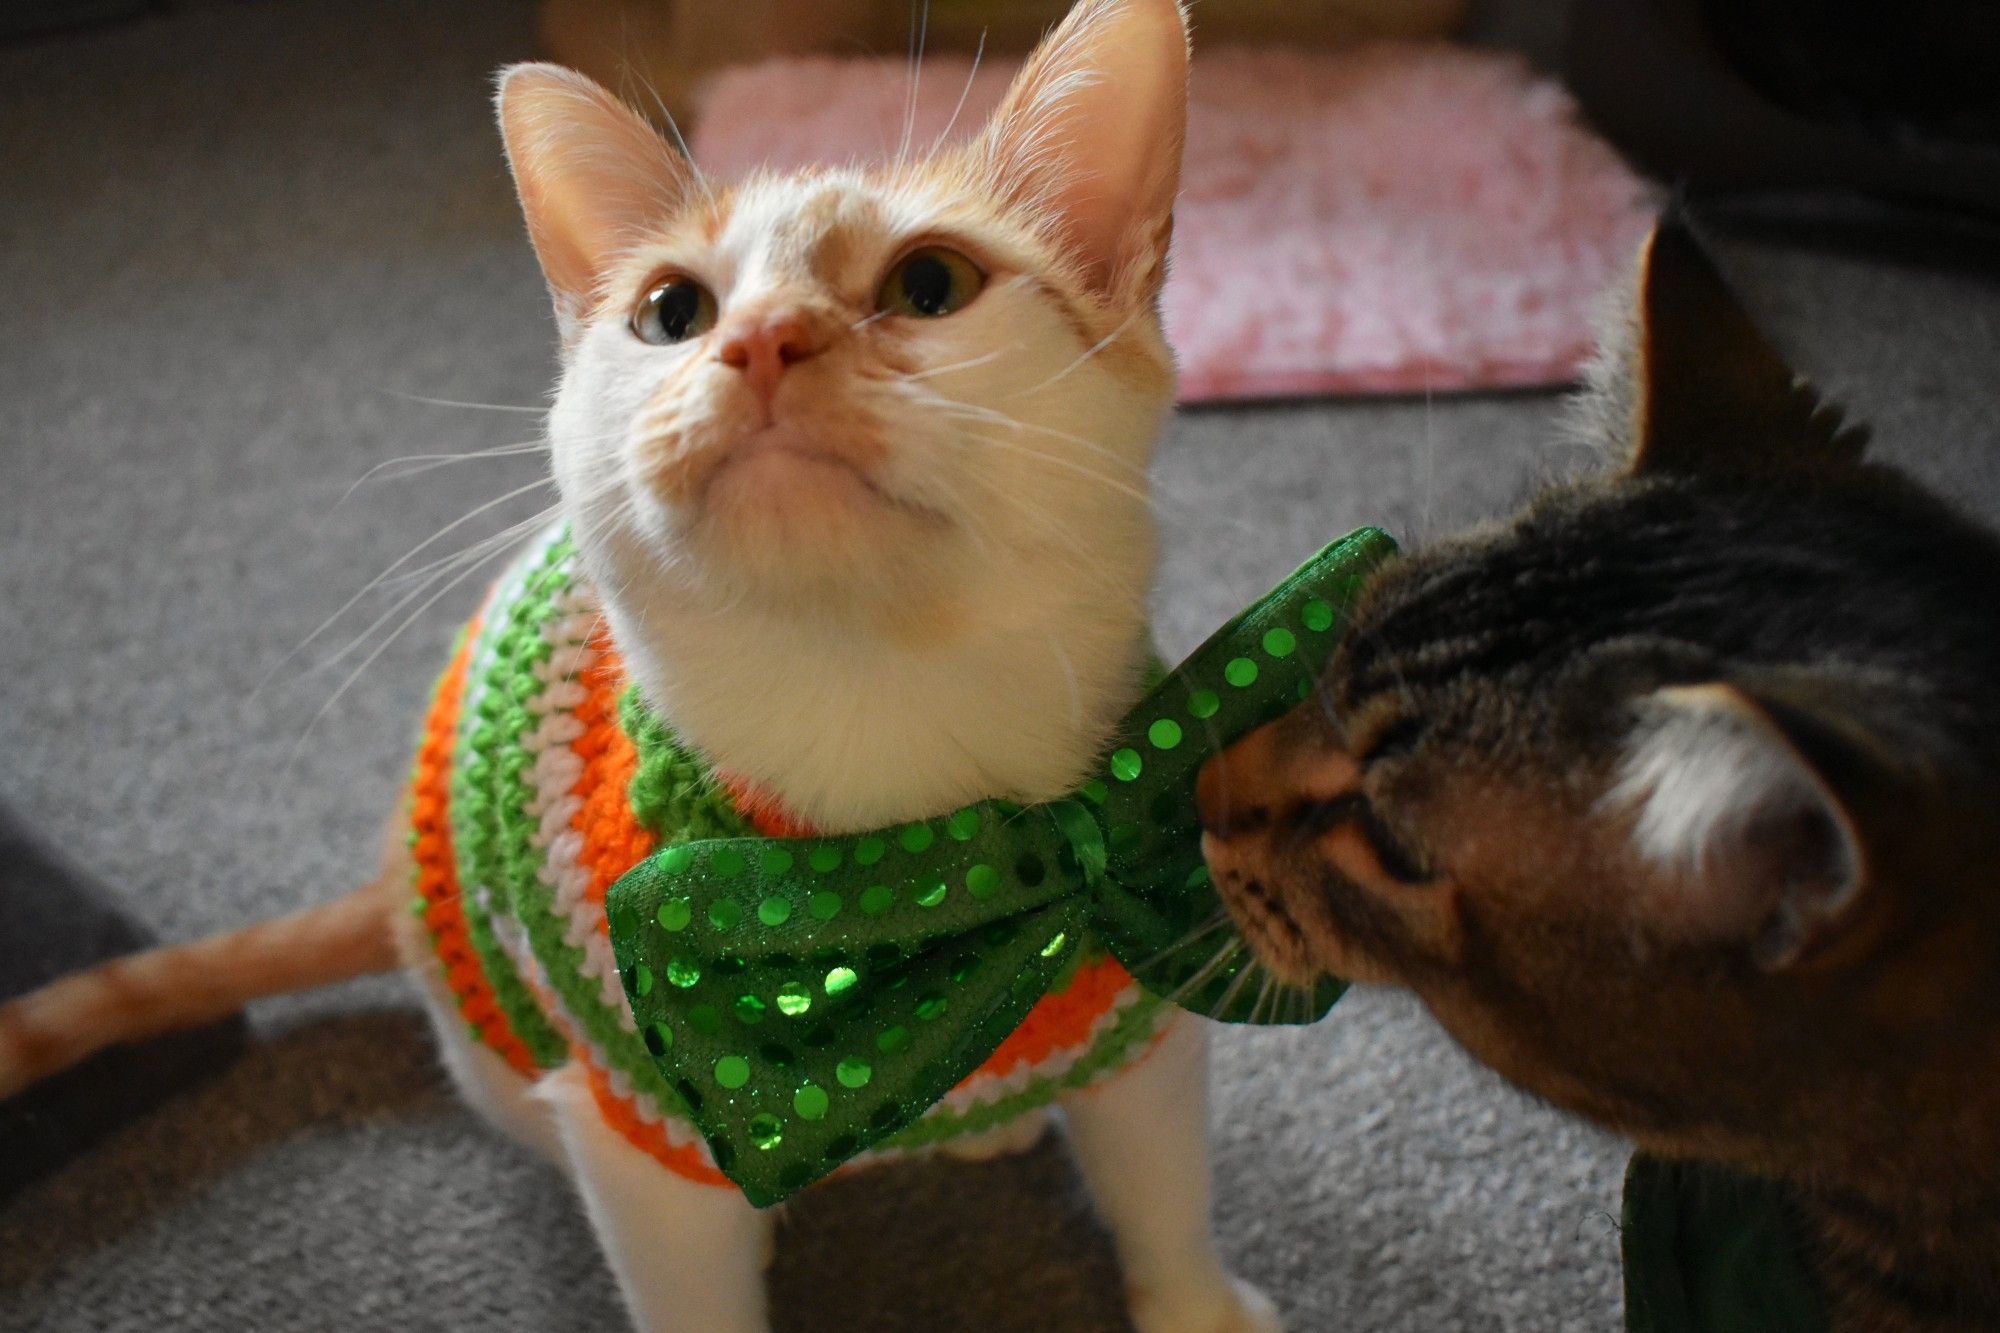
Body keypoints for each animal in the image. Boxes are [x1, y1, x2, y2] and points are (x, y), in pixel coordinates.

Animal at [0, 2, 1280, 1328]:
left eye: (931, 285)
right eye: (673, 312)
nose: (763, 340)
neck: (877, 739)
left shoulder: (1147, 993)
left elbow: (1159, 1185)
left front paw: (1194, 1302)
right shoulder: (639, 1143)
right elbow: (688, 1284)